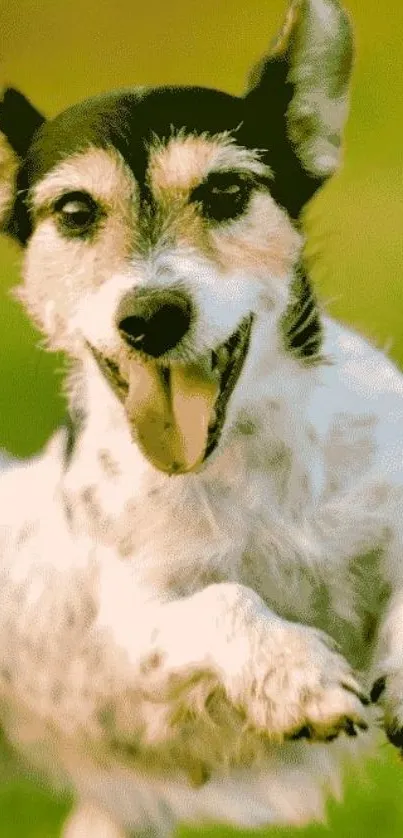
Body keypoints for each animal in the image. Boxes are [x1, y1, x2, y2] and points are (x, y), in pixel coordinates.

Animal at [0, 0, 403, 836]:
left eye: (223, 191)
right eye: (75, 210)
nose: (152, 316)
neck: (252, 465)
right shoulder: (133, 630)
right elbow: (225, 601)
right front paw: (297, 678)